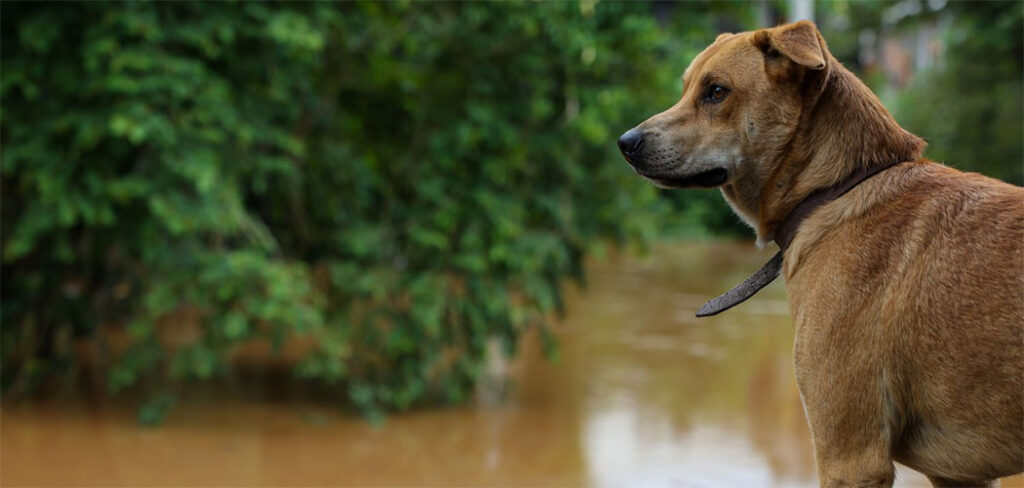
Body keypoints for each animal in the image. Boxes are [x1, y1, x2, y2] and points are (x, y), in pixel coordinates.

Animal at [614, 20, 1024, 484]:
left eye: (716, 91)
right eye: (686, 88)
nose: (625, 142)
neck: (838, 187)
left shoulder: (851, 458)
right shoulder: (959, 475)